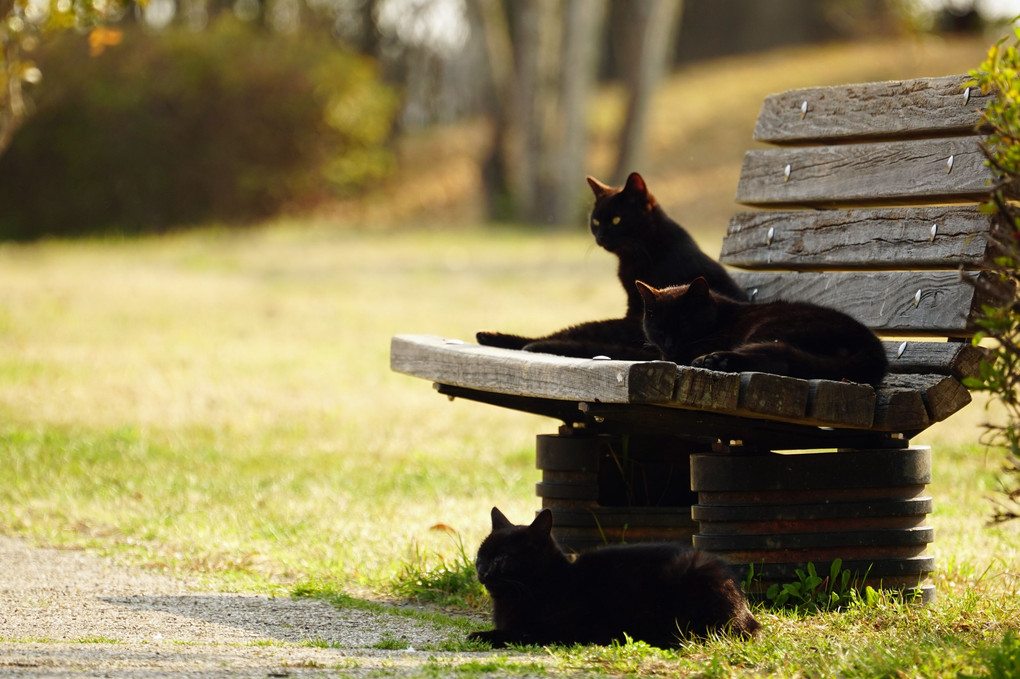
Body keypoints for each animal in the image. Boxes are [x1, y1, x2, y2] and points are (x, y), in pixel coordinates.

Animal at [467, 507, 758, 644]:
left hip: (693, 570)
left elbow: (519, 633)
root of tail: (746, 612)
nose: (482, 570)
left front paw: (482, 635)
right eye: (481, 555)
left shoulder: (561, 630)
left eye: (502, 558)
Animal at [640, 273, 889, 381]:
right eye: (659, 328)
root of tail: (873, 346)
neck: (719, 317)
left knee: (779, 362)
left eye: (684, 324)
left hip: (771, 328)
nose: (669, 344)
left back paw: (715, 360)